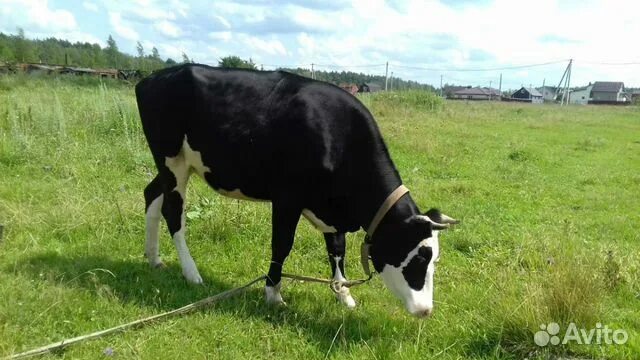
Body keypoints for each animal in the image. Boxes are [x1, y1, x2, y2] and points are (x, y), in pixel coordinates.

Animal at [135, 64, 458, 318]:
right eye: (419, 258)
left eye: (434, 260)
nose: (425, 310)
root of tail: (154, 77)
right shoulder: (287, 199)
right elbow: (282, 245)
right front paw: (273, 294)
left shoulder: (331, 209)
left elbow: (337, 250)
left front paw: (344, 294)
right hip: (172, 161)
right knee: (173, 212)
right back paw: (191, 273)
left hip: (176, 166)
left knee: (151, 195)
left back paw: (154, 258)